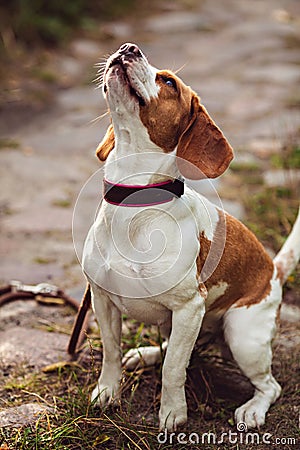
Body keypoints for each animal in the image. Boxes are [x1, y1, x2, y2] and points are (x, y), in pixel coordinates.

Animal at [81, 43, 300, 432]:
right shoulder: (103, 299)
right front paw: (107, 393)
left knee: (269, 386)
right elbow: (111, 352)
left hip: (242, 336)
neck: (135, 200)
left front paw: (173, 413)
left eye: (169, 82)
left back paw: (253, 410)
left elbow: (173, 371)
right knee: (174, 350)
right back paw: (146, 354)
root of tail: (274, 271)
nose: (128, 47)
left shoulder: (188, 308)